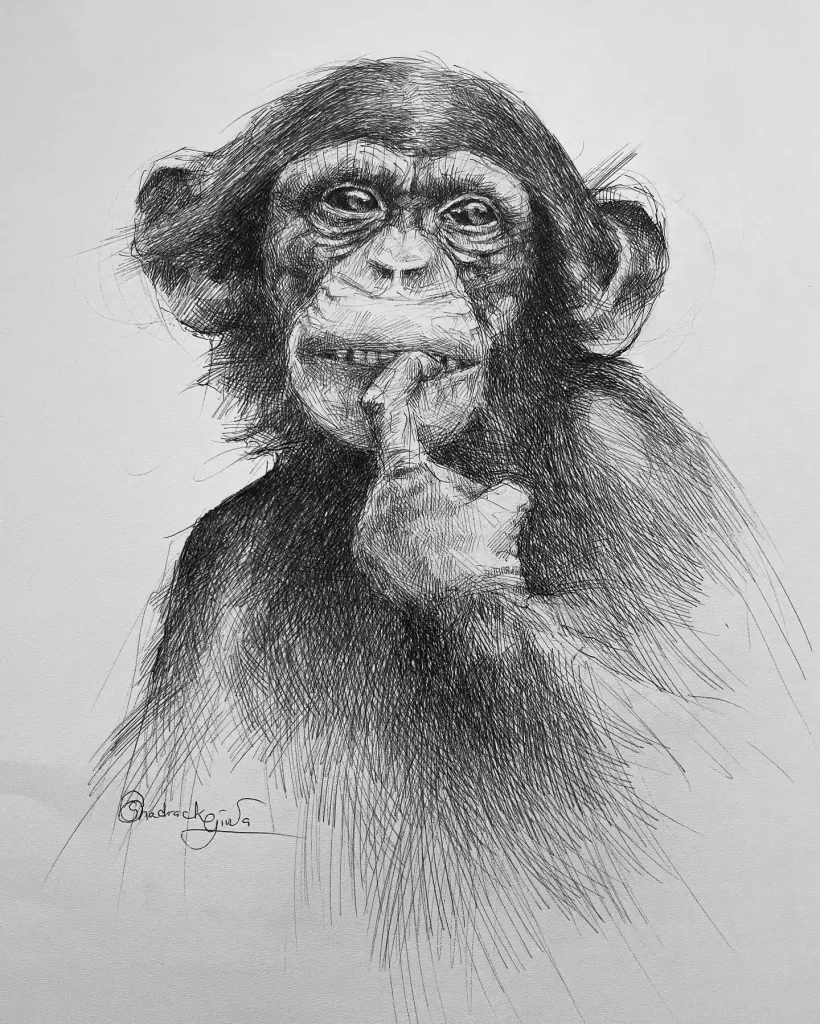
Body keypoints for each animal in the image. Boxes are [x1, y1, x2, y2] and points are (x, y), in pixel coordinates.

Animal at [95, 57, 794, 973]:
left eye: (471, 217)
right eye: (350, 201)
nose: (400, 266)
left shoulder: (638, 461)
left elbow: (711, 761)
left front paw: (434, 540)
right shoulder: (217, 566)